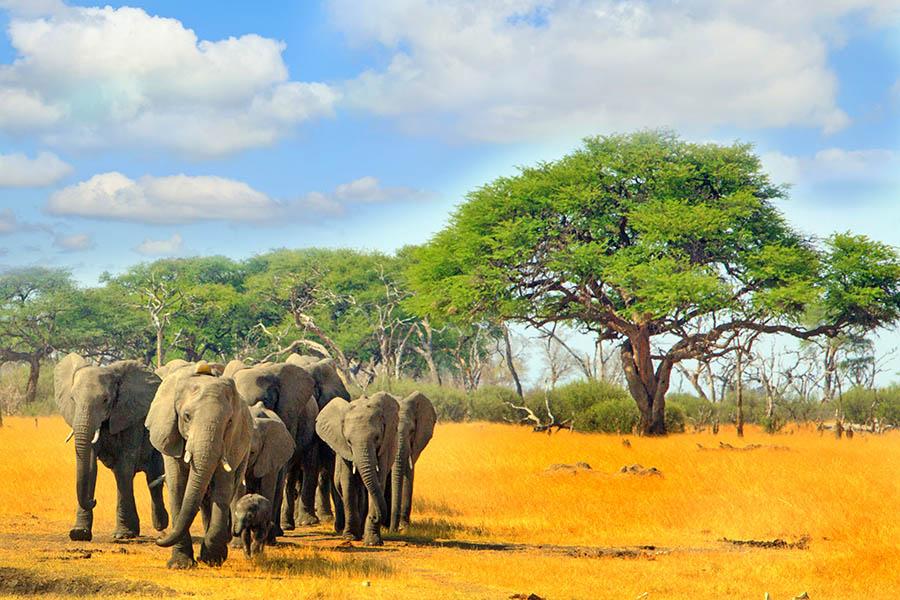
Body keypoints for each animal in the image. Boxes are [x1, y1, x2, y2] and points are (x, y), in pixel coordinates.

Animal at [54, 353, 168, 542]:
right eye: (72, 399)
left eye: (105, 400)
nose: (93, 501)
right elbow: (90, 466)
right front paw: (79, 533)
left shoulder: (132, 415)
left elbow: (124, 468)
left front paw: (123, 535)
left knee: (154, 476)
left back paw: (161, 525)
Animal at [145, 361, 252, 569]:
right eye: (186, 416)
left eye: (229, 422)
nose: (158, 539)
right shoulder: (170, 435)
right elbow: (177, 486)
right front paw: (180, 565)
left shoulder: (230, 444)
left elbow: (222, 487)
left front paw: (212, 559)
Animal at [315, 392, 399, 546]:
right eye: (349, 441)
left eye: (377, 438)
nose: (375, 518)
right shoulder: (344, 449)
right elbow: (348, 484)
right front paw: (350, 537)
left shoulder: (384, 448)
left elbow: (379, 481)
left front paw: (372, 542)